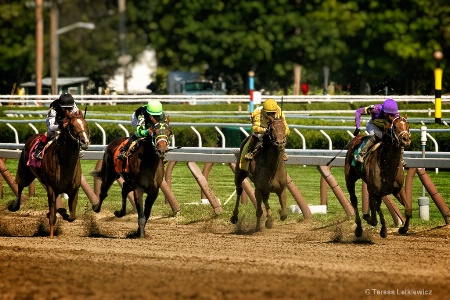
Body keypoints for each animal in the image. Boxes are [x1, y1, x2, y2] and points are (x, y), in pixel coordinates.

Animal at [7, 109, 89, 238]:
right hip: (26, 174)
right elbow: (52, 217)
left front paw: (63, 212)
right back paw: (15, 206)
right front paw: (51, 235)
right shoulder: (51, 188)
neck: (66, 163)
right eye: (72, 125)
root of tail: (34, 136)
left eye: (86, 124)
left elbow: (72, 216)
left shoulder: (74, 190)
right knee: (19, 185)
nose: (85, 141)